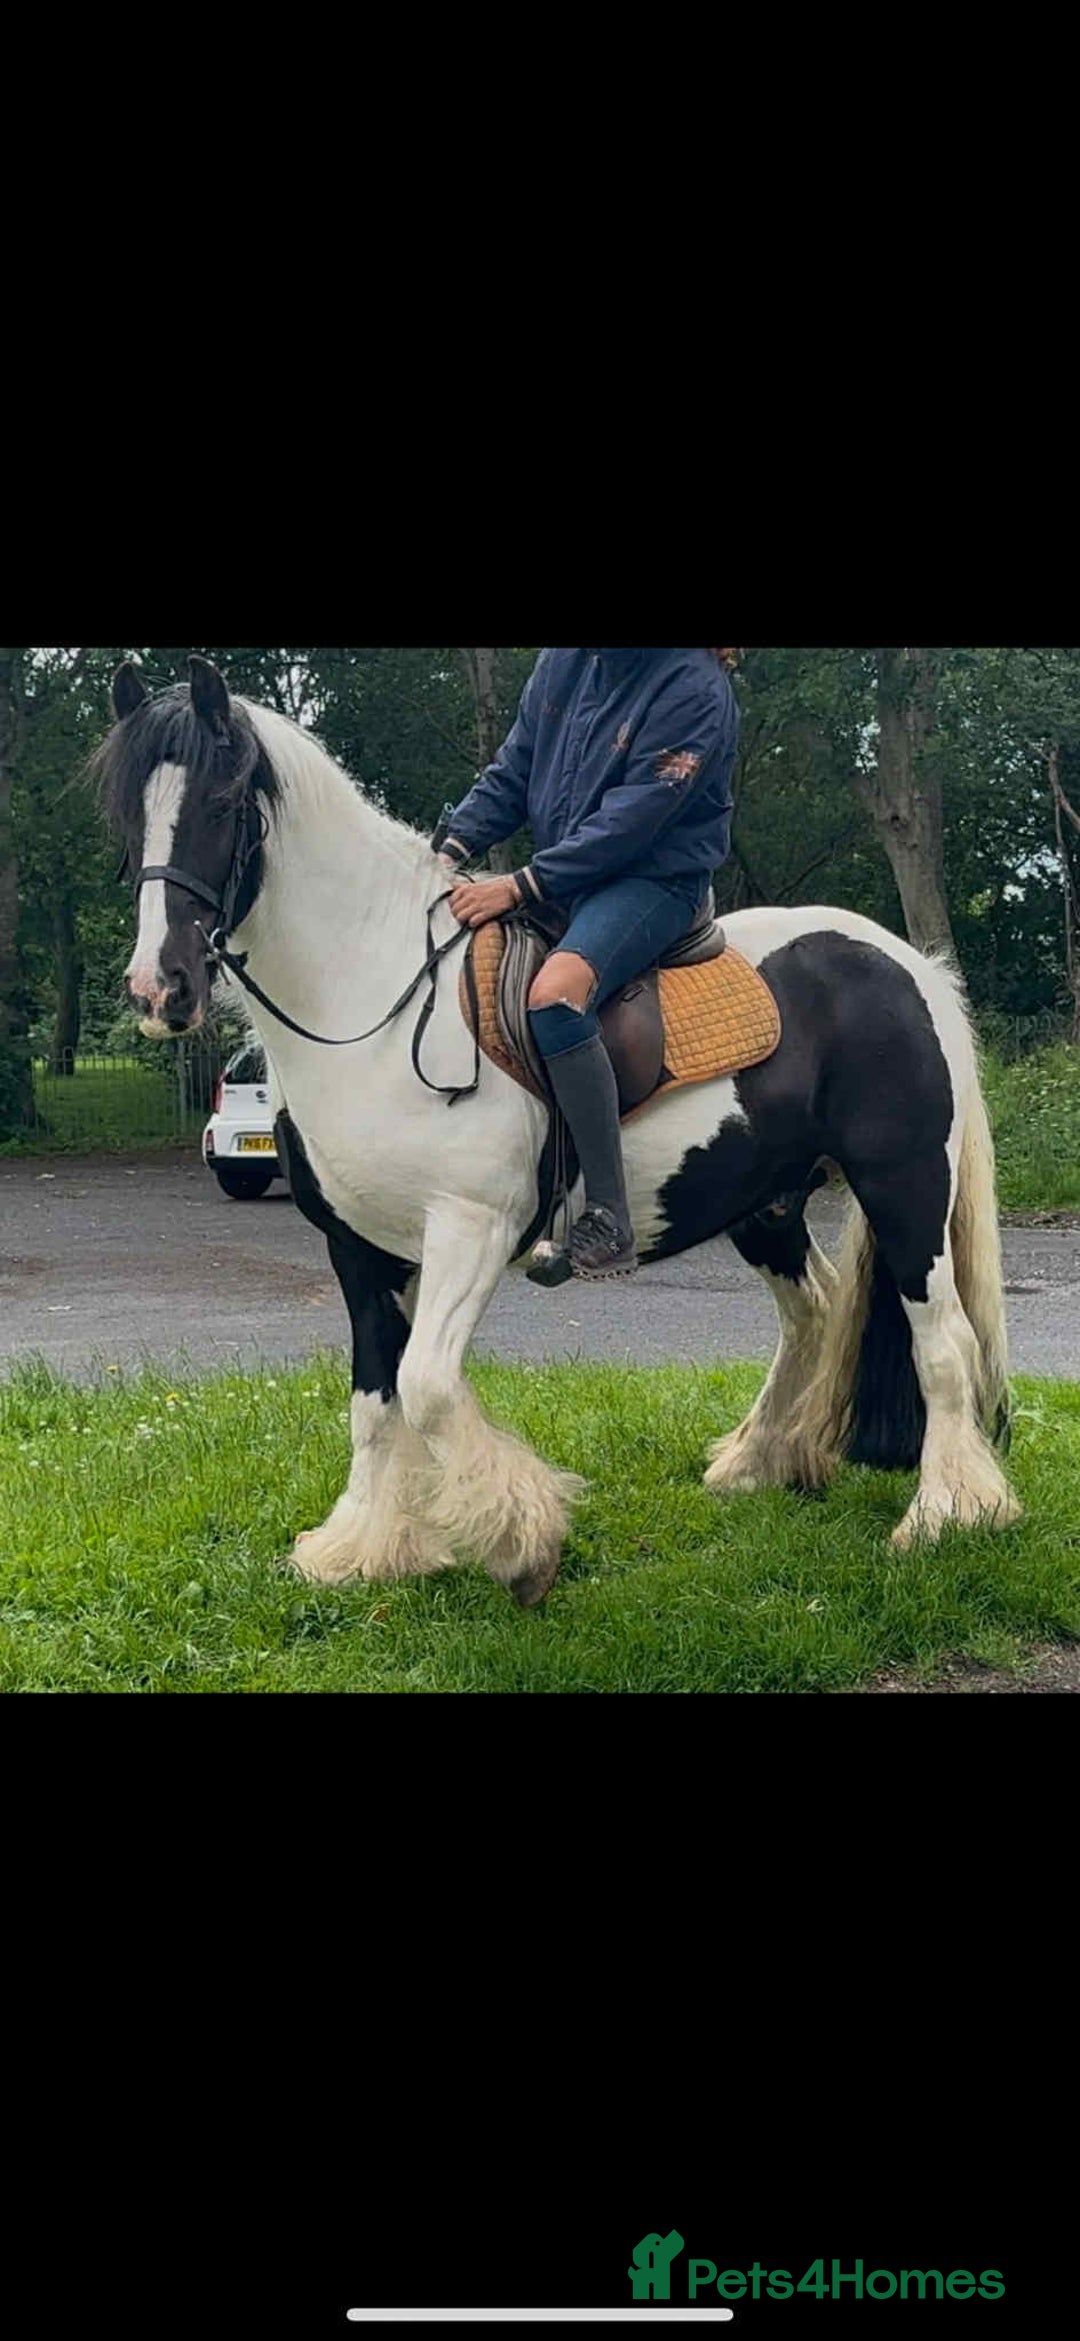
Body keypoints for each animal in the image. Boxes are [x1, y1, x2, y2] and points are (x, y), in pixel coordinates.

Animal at [94, 656, 1021, 1606]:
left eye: (221, 803)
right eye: (128, 812)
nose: (159, 989)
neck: (374, 997)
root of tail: (908, 964)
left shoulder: (470, 1227)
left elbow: (427, 1387)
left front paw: (520, 1539)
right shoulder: (358, 1247)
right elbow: (375, 1399)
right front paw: (369, 1548)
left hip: (905, 1188)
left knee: (944, 1343)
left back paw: (948, 1514)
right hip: (765, 1204)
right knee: (816, 1311)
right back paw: (763, 1460)